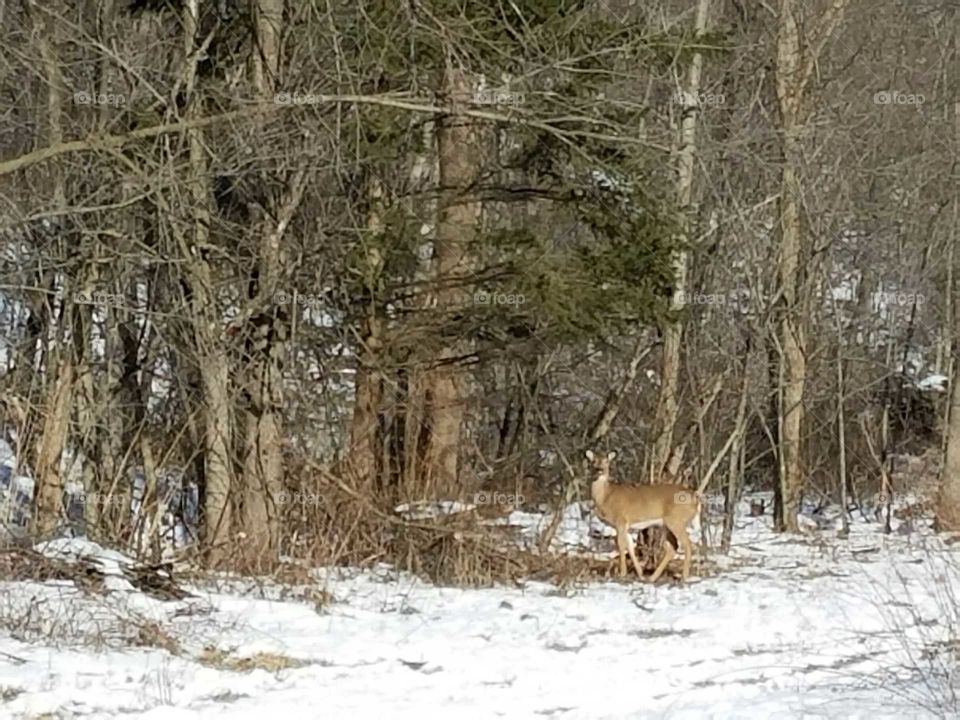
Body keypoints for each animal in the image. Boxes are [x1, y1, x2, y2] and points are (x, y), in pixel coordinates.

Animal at [585, 449, 700, 583]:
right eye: (593, 461)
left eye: (606, 461)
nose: (599, 470)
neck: (605, 497)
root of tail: (696, 499)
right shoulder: (628, 526)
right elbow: (630, 547)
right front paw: (640, 574)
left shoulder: (621, 520)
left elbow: (621, 545)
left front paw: (622, 574)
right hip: (666, 524)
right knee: (673, 547)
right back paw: (652, 577)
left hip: (676, 520)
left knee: (687, 544)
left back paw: (683, 577)